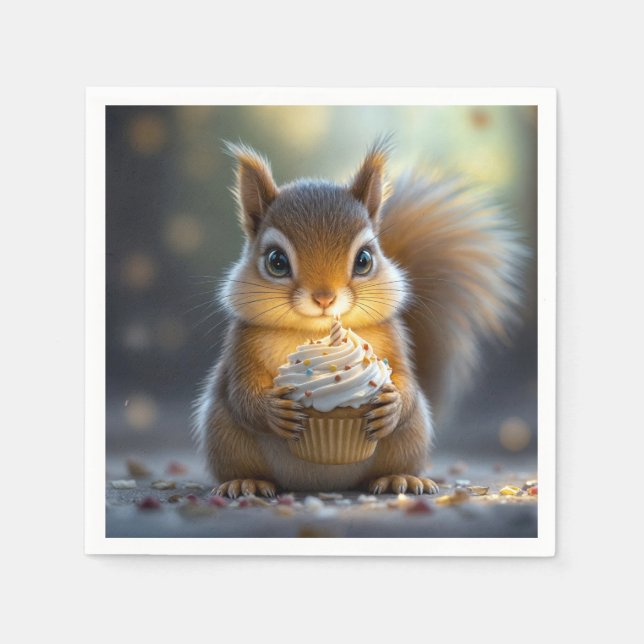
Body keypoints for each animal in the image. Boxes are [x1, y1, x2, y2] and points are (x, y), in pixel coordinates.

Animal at [193, 138, 525, 497]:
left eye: (364, 259)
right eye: (277, 262)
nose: (325, 298)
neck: (311, 331)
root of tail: (321, 483)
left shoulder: (392, 337)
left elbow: (405, 380)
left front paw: (392, 405)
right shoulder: (242, 342)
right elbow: (241, 392)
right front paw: (272, 411)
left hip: (411, 437)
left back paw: (399, 478)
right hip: (224, 435)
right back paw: (246, 482)